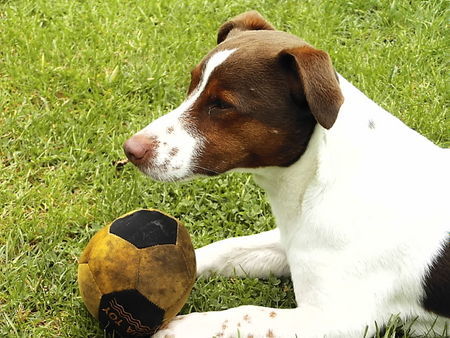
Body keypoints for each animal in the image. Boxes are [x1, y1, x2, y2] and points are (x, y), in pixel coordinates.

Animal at [123, 10, 450, 338]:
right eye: (191, 85)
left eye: (222, 105)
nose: (130, 149)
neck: (315, 181)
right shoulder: (289, 243)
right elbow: (222, 249)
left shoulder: (335, 320)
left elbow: (244, 314)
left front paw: (183, 326)